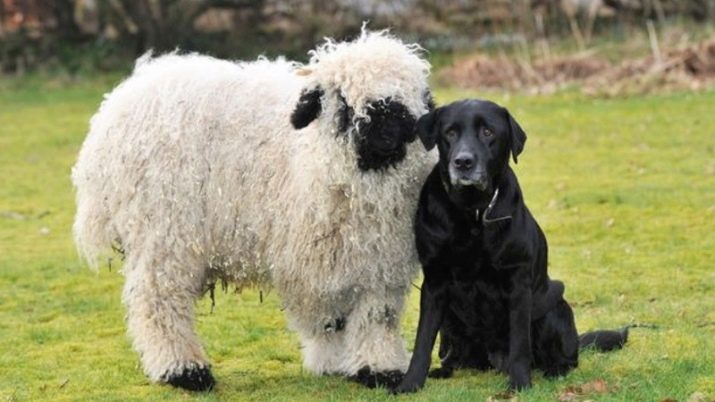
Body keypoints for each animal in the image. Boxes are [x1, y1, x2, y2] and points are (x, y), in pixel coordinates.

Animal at [70, 29, 434, 392]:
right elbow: (327, 317)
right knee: (159, 301)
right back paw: (183, 370)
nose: (386, 132)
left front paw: (377, 368)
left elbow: (377, 317)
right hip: (164, 233)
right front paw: (333, 361)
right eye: (342, 100)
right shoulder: (308, 259)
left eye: (408, 95)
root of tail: (122, 98)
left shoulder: (380, 262)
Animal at [392, 99, 628, 392]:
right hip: (450, 321)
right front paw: (410, 383)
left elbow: (520, 343)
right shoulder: (435, 283)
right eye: (450, 133)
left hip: (554, 308)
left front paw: (520, 383)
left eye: (488, 132)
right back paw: (445, 369)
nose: (463, 162)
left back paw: (554, 370)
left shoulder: (518, 283)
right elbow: (422, 341)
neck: (473, 211)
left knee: (565, 357)